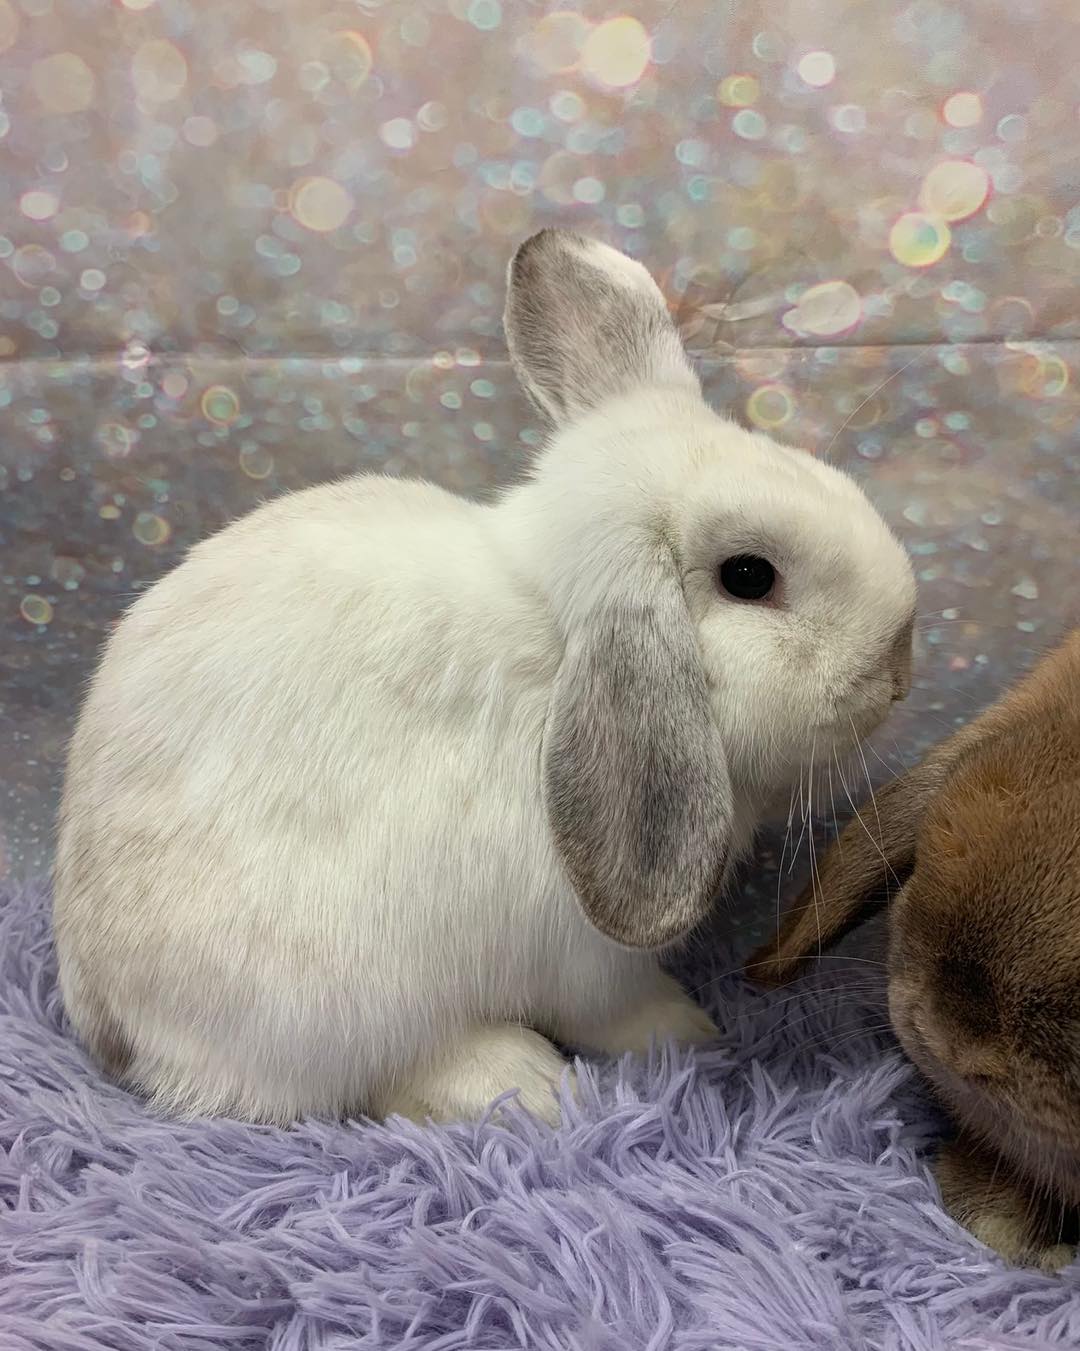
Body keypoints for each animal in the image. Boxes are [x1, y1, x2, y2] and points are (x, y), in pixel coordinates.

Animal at [53, 228, 917, 1126]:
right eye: (749, 576)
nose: (898, 664)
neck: (559, 649)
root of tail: (114, 1029)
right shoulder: (589, 961)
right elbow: (623, 1009)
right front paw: (692, 1031)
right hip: (339, 995)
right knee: (384, 1075)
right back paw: (525, 1080)